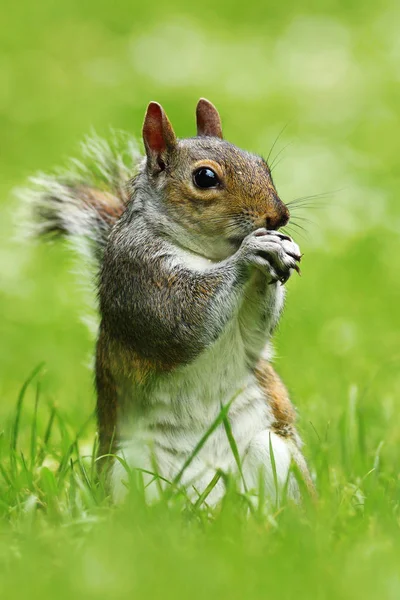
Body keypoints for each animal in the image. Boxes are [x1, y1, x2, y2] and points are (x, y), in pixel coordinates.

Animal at [28, 97, 316, 502]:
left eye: (263, 164)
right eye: (205, 178)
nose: (279, 217)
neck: (209, 255)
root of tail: (209, 503)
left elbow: (254, 332)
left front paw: (282, 249)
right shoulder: (137, 276)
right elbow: (181, 321)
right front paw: (252, 250)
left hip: (272, 451)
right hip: (128, 467)